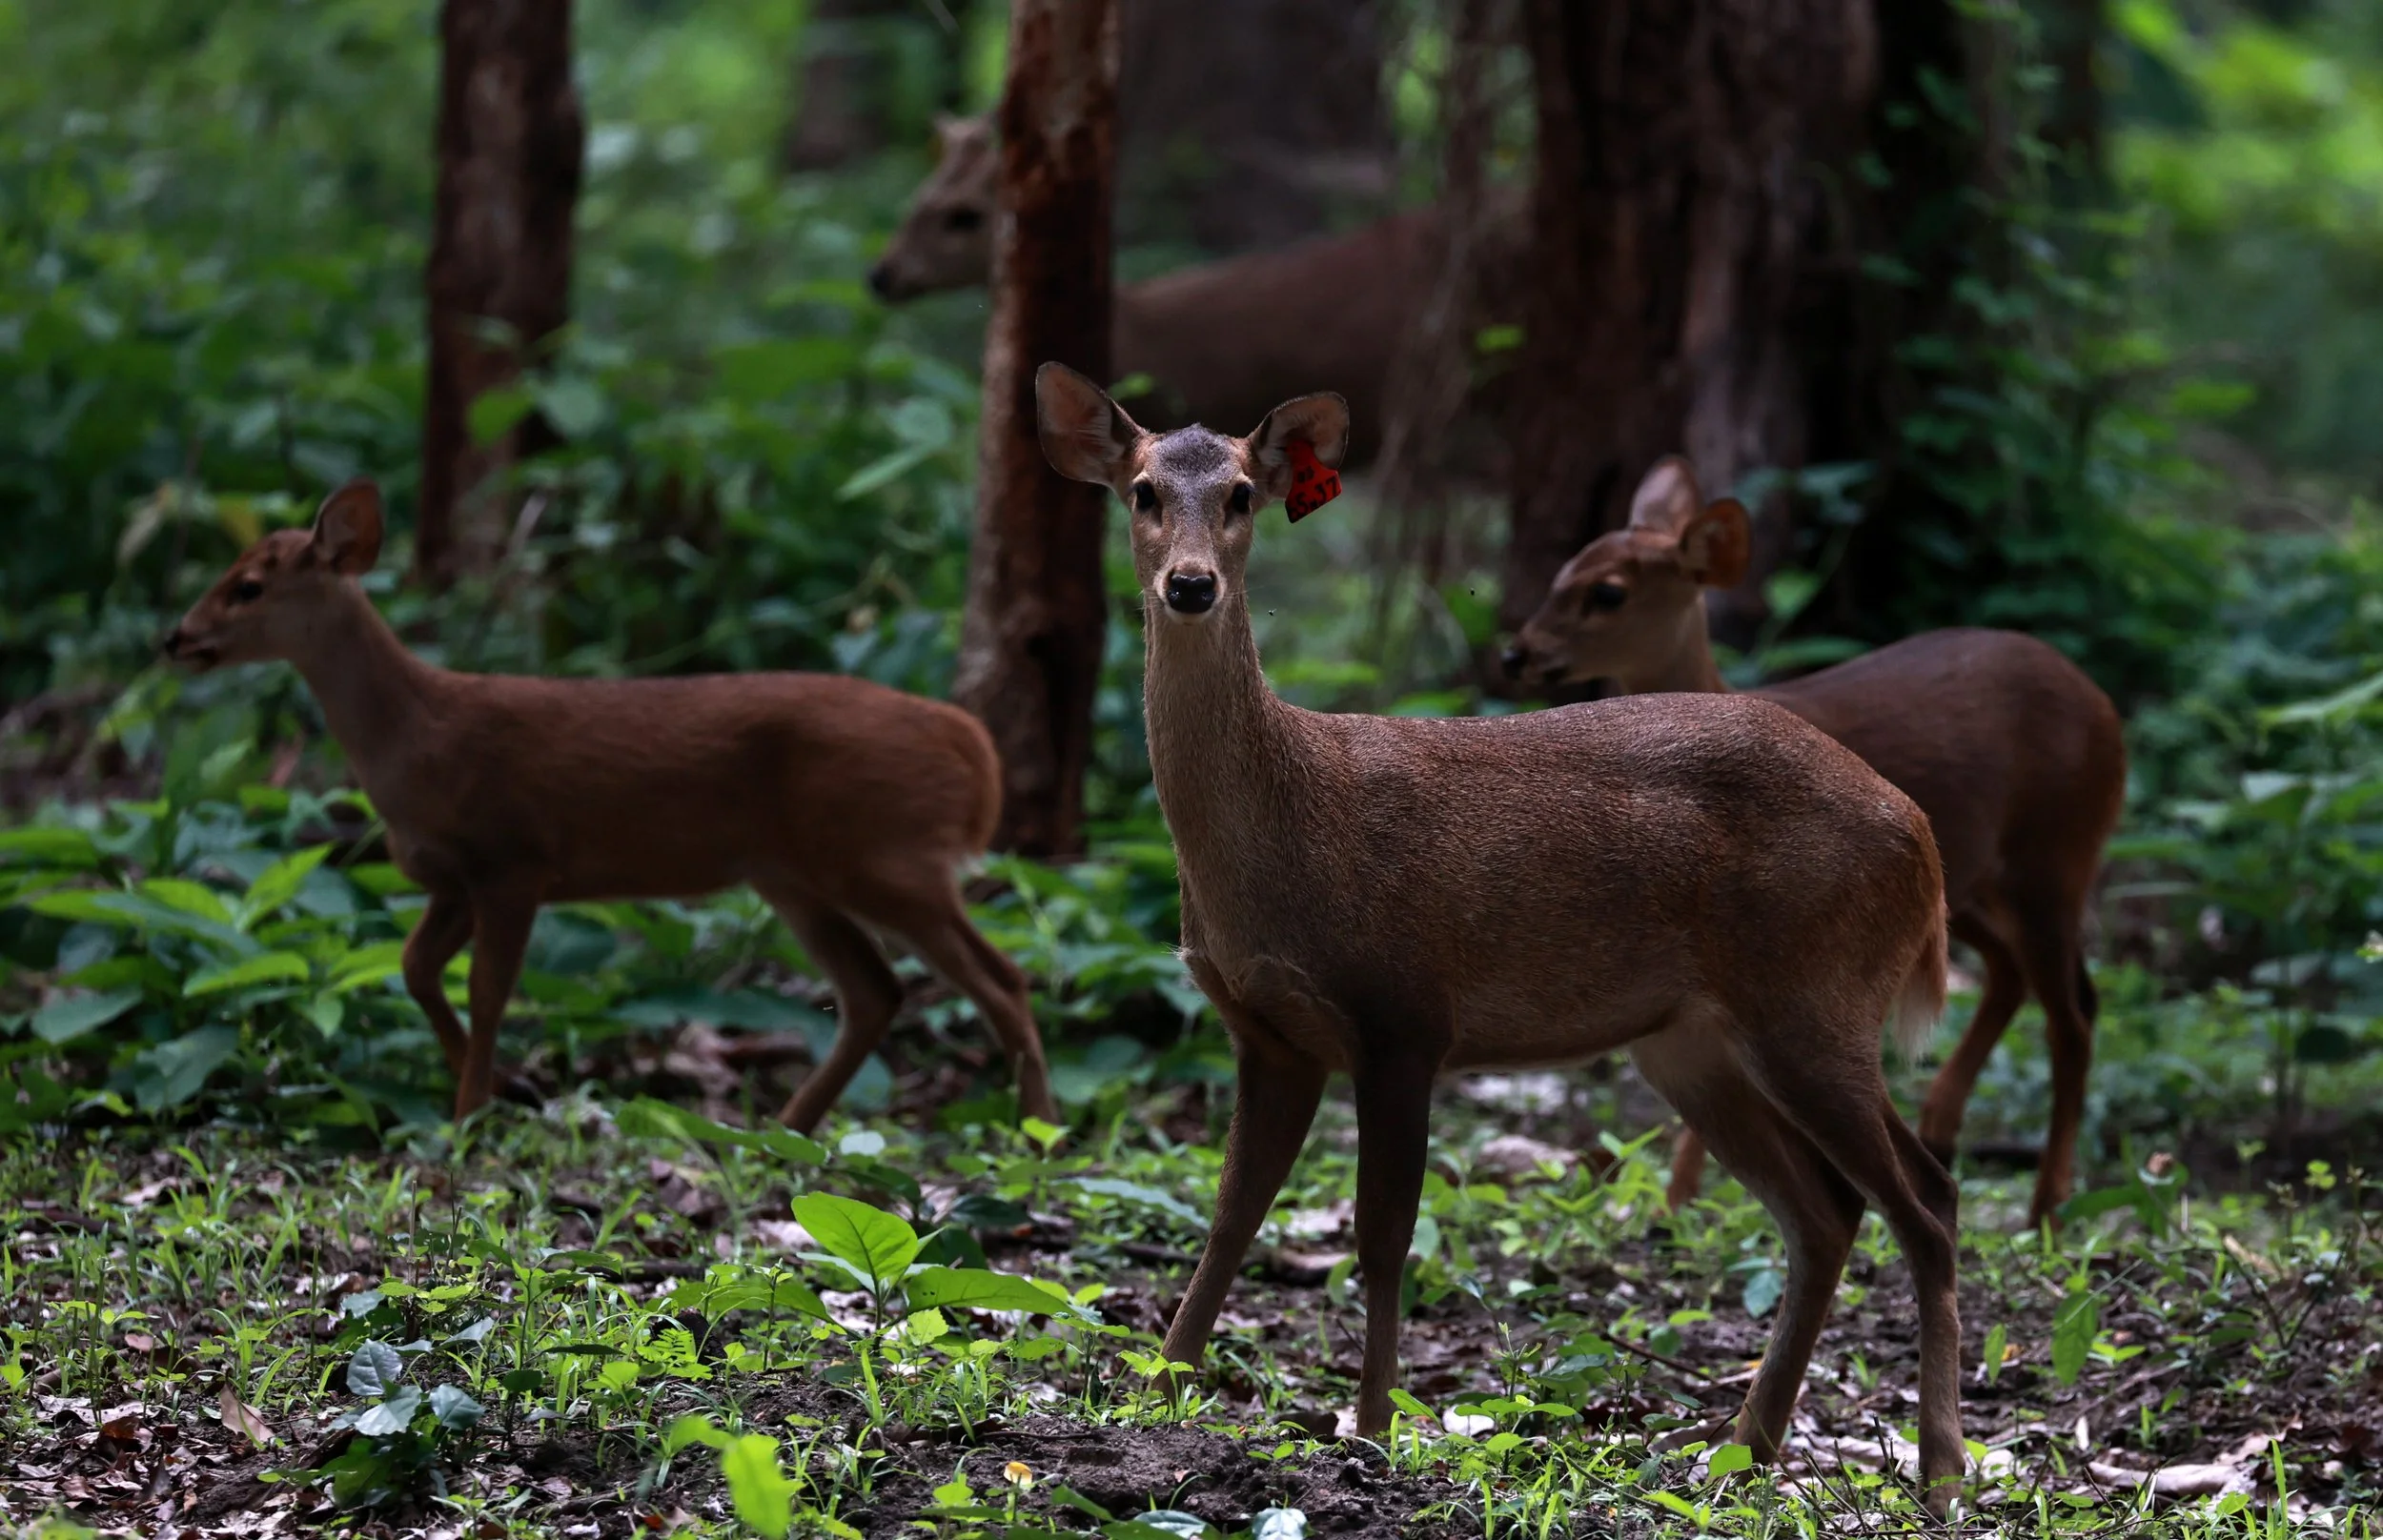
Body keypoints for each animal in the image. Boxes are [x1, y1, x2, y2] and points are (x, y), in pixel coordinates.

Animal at [162, 480, 1057, 1132]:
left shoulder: (515, 859)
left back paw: (1036, 1133)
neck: (416, 739)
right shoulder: (453, 877)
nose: (174, 638)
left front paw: (469, 1118)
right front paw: (501, 1089)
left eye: (247, 587)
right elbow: (416, 971)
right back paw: (784, 1130)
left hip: (886, 856)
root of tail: (970, 747)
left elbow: (487, 990)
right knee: (876, 992)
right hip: (793, 875)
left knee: (1001, 977)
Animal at [1034, 363, 1967, 1513]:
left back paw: (1939, 1465)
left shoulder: (1401, 1014)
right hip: (1695, 1041)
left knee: (1925, 1201)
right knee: (1829, 1209)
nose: (1192, 586)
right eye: (1143, 491)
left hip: (1814, 996)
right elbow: (1230, 1214)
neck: (1284, 830)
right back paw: (1740, 1448)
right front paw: (1157, 1390)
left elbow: (1383, 1231)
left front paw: (1375, 1424)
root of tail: (1917, 832)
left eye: (1245, 492)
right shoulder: (1268, 1032)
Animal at [1504, 459, 2128, 1229]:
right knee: (2012, 980)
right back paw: (1945, 1128)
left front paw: (1679, 1203)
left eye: (1609, 592)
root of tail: (2103, 703)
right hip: (1967, 888)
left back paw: (2045, 1205)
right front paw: (1676, 1202)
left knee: (2072, 1018)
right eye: (1565, 569)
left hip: (2057, 856)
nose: (1517, 654)